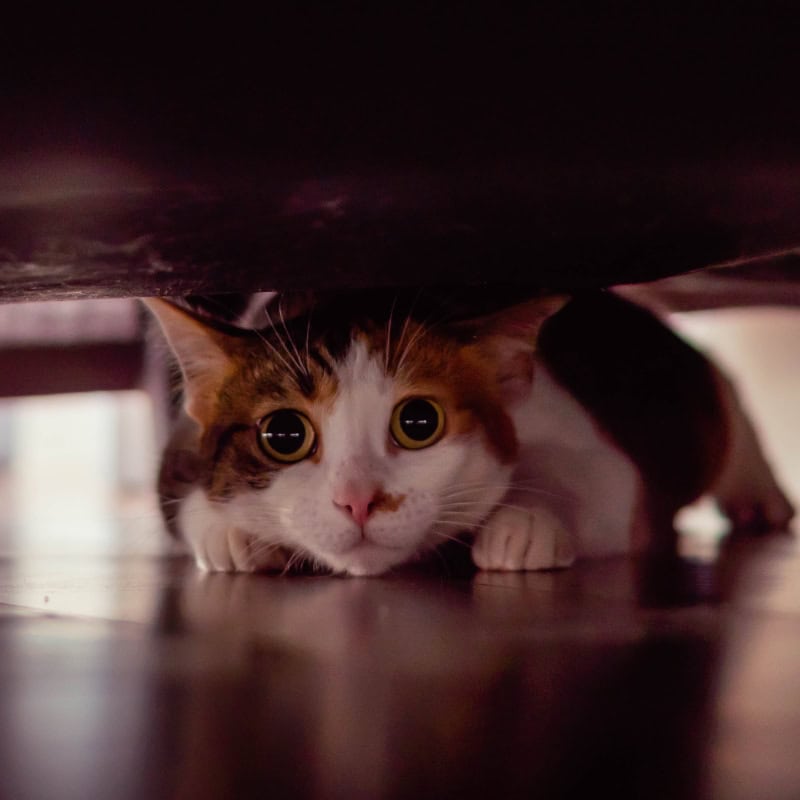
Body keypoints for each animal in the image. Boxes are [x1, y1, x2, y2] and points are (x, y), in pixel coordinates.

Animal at [145, 288, 792, 576]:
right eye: (283, 435)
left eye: (418, 423)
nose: (357, 501)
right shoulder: (178, 450)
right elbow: (186, 498)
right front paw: (232, 534)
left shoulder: (590, 447)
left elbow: (593, 477)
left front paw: (523, 522)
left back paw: (759, 495)